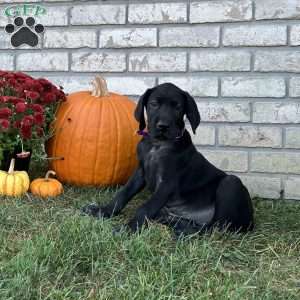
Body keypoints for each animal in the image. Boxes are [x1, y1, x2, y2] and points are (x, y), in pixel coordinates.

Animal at [82, 83, 253, 236]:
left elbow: (145, 207)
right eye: (153, 104)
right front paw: (103, 211)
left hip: (231, 183)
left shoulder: (167, 183)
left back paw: (186, 232)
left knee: (216, 227)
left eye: (177, 107)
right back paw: (180, 225)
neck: (157, 145)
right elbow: (123, 193)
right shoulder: (140, 172)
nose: (163, 126)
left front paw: (129, 228)